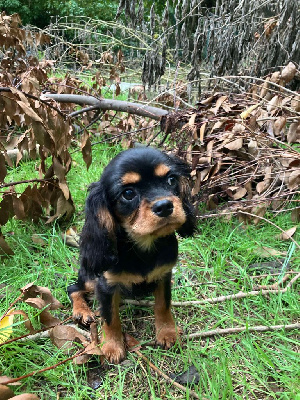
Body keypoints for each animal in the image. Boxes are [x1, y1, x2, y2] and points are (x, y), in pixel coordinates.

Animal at [67, 146, 197, 362]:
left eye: (171, 180)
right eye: (128, 193)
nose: (164, 206)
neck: (143, 244)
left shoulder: (164, 275)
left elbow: (163, 305)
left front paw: (167, 333)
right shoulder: (106, 285)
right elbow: (110, 317)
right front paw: (112, 346)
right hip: (90, 277)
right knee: (73, 288)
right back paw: (82, 310)